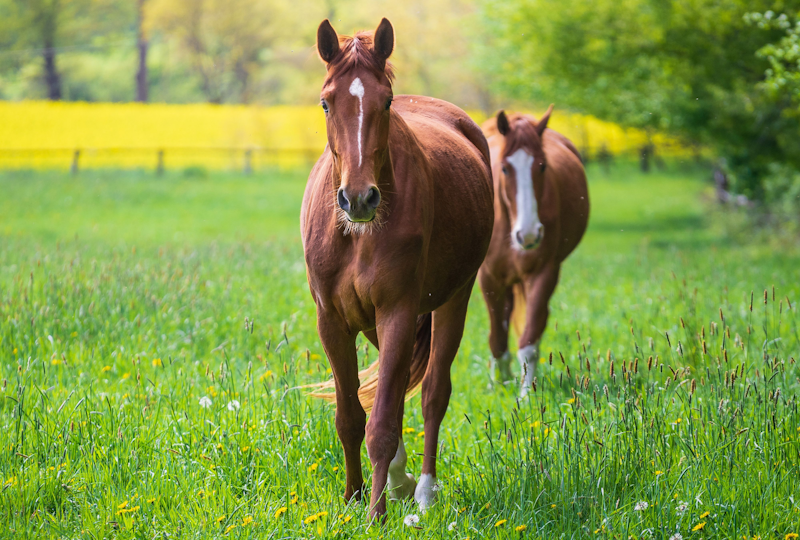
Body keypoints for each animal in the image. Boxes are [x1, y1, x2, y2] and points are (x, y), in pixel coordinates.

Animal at [301, 18, 494, 517]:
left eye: (385, 101)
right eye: (326, 102)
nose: (359, 199)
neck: (356, 235)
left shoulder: (398, 314)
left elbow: (384, 423)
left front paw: (375, 515)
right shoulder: (332, 321)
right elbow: (351, 417)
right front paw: (352, 497)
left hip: (454, 299)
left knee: (432, 393)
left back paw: (422, 490)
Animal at [478, 107, 589, 397]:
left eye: (542, 166)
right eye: (505, 168)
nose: (528, 234)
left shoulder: (543, 273)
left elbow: (529, 340)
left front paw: (526, 394)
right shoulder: (489, 278)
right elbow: (496, 339)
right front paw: (498, 386)